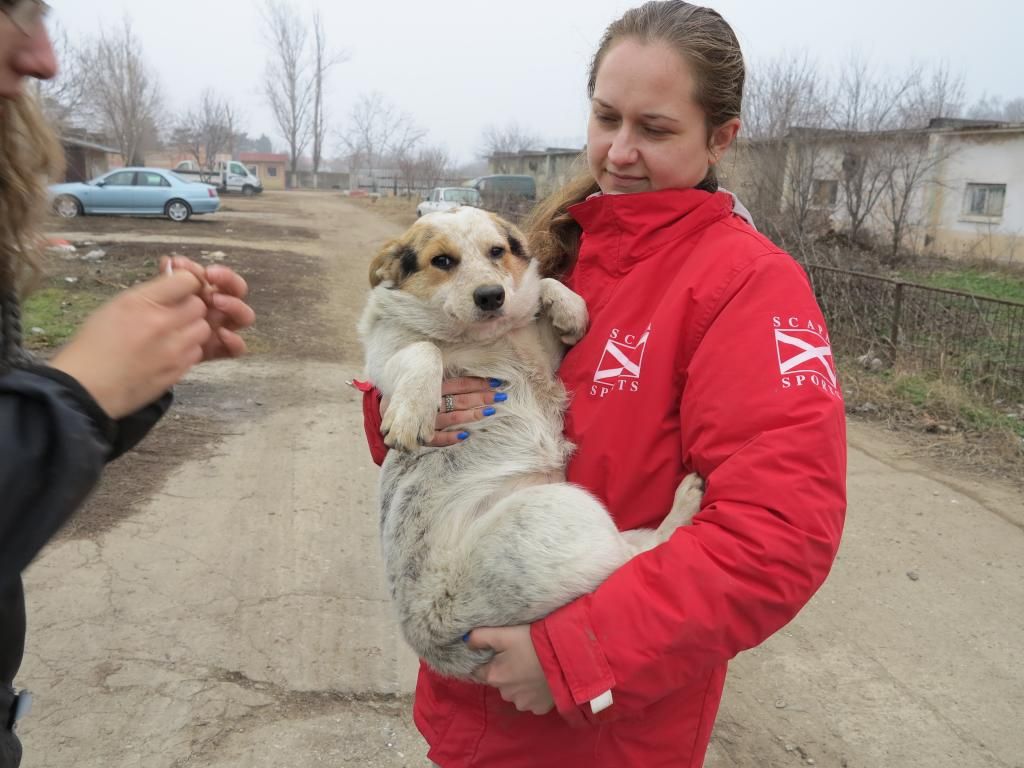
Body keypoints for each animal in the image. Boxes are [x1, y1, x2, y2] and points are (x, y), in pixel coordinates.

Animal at [356, 205, 700, 679]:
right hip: (558, 508)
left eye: (497, 251)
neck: (486, 337)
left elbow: (546, 287)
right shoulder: (383, 355)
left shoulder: (543, 355)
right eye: (441, 260)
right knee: (637, 555)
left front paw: (569, 309)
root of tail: (445, 650)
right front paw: (411, 411)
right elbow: (423, 351)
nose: (491, 296)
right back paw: (684, 503)